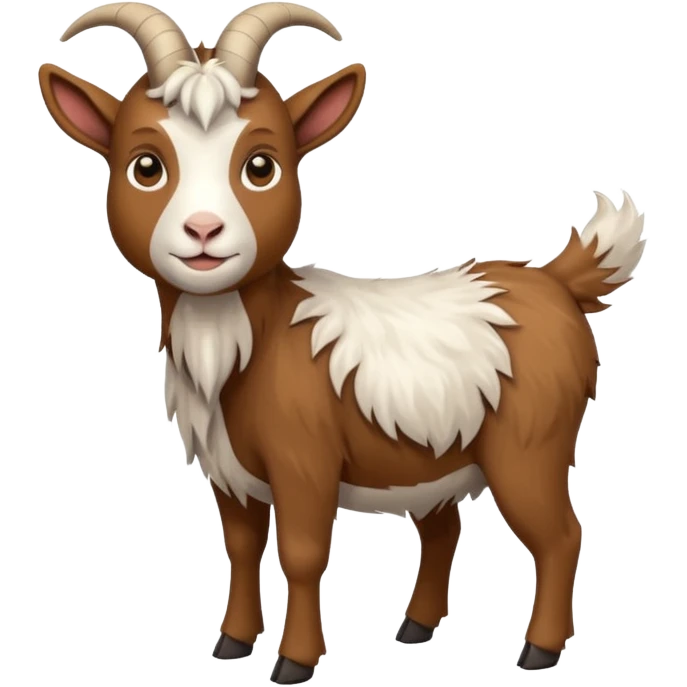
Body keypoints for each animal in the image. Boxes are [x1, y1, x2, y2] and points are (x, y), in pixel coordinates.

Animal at [38, 0, 648, 680]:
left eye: (261, 165)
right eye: (145, 166)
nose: (203, 230)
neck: (250, 341)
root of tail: (554, 280)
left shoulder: (305, 461)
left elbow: (301, 553)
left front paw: (294, 662)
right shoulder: (230, 471)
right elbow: (241, 547)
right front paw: (232, 643)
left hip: (531, 446)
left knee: (561, 535)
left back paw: (539, 649)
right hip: (438, 459)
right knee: (445, 531)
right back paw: (416, 628)